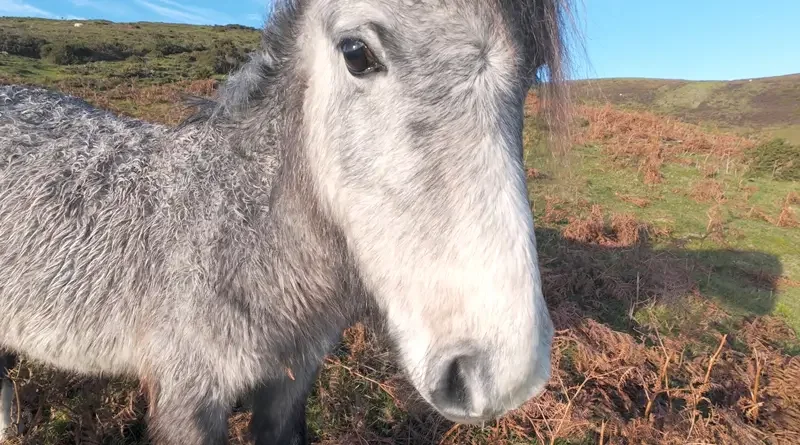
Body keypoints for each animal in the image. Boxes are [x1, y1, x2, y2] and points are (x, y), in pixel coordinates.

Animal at [0, 0, 572, 443]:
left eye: (535, 68)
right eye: (356, 53)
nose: (498, 372)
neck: (238, 231)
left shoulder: (290, 383)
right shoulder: (187, 398)